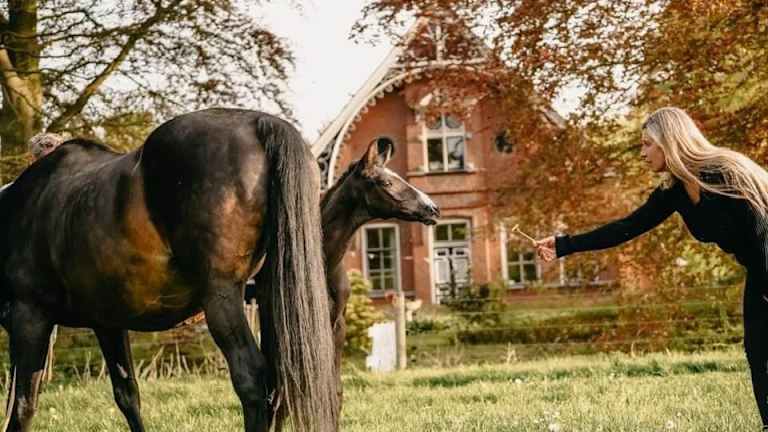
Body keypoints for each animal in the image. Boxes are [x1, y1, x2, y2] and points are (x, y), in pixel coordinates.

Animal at [0, 108, 337, 432]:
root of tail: (259, 123)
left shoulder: (30, 317)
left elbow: (22, 406)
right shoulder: (107, 324)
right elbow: (127, 395)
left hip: (221, 297)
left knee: (251, 379)